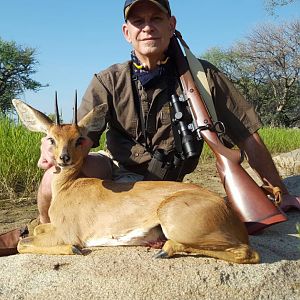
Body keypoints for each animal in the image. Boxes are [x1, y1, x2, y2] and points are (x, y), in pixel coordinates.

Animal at [12, 98, 258, 262]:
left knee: (248, 252)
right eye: (51, 138)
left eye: (79, 138)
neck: (67, 187)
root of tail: (229, 212)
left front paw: (73, 249)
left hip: (179, 225)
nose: (64, 158)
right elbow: (35, 230)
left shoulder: (67, 233)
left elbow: (22, 243)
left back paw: (165, 250)